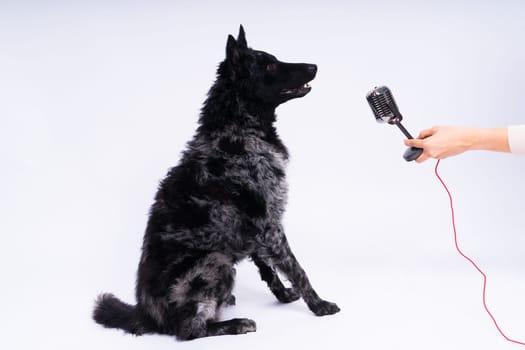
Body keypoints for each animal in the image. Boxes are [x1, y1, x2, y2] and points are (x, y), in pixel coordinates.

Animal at [93, 26, 340, 340]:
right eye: (269, 66)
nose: (313, 67)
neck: (236, 129)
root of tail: (146, 315)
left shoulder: (257, 229)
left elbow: (268, 268)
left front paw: (284, 295)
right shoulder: (270, 226)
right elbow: (295, 268)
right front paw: (319, 305)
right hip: (216, 260)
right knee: (189, 330)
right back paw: (235, 323)